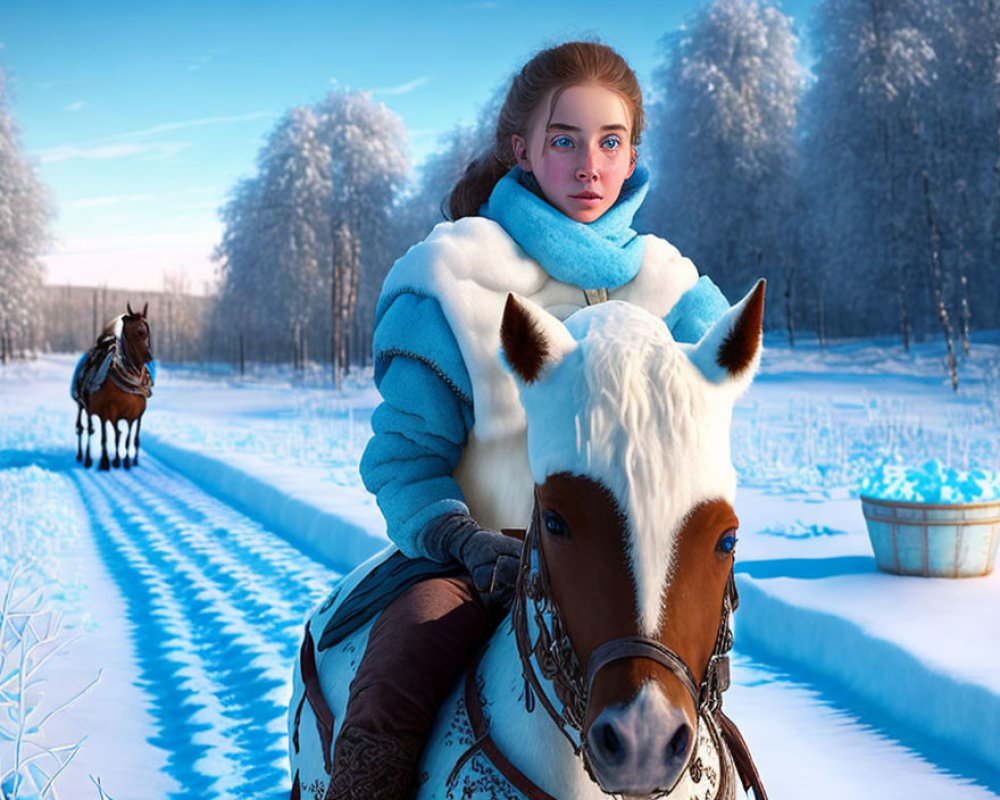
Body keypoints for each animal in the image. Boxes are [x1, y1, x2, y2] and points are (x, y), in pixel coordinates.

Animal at [71, 304, 154, 472]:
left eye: (147, 330)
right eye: (136, 331)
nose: (148, 356)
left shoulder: (134, 413)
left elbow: (128, 437)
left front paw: (127, 460)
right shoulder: (109, 410)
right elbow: (113, 435)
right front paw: (108, 461)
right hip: (83, 406)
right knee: (84, 428)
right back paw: (84, 457)